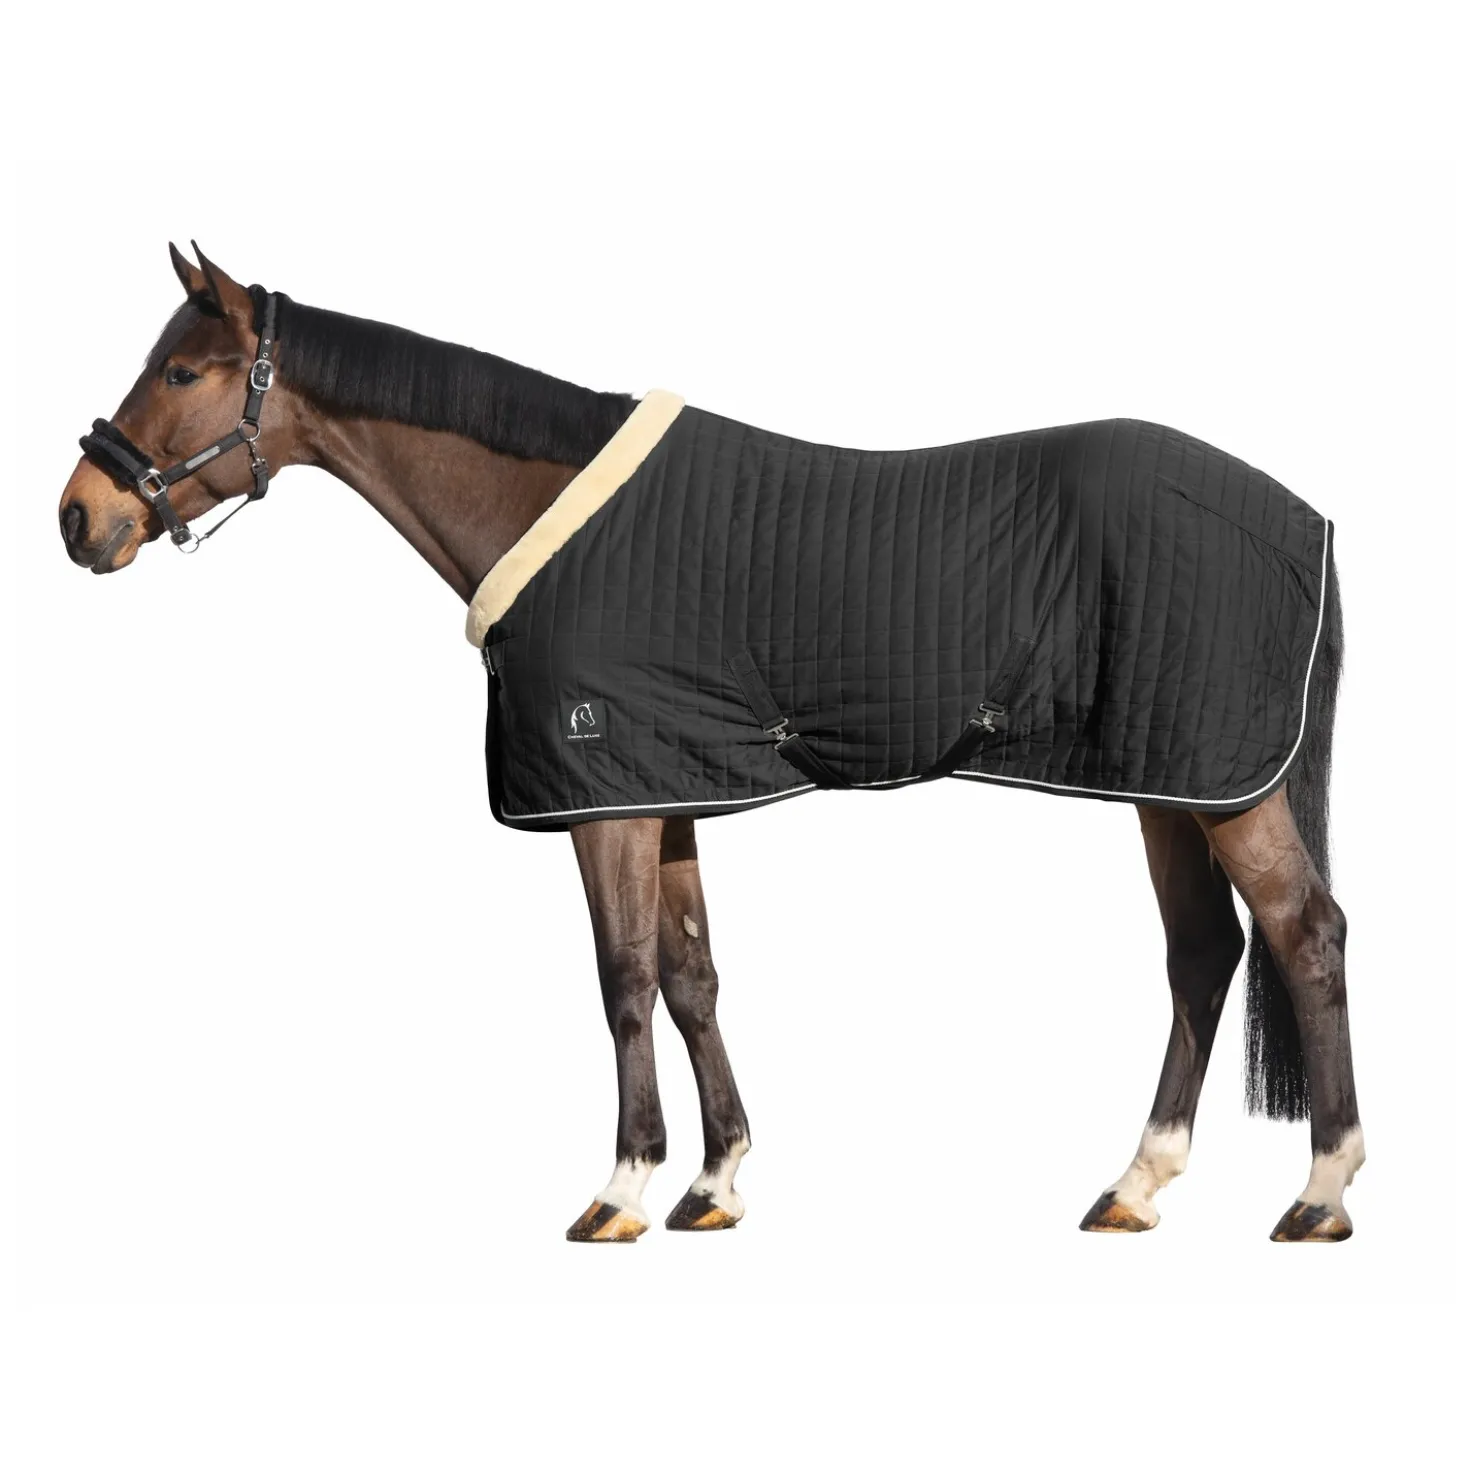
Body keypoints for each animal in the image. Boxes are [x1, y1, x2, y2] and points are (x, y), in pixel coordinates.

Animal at [57, 244, 1364, 1243]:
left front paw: (622, 1189)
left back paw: (1320, 1192)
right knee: (1203, 954)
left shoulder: (605, 804)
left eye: (181, 368)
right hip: (1168, 782)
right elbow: (692, 978)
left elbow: (625, 981)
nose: (80, 515)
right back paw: (1136, 1184)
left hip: (1224, 788)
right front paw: (714, 1180)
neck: (550, 512)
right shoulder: (669, 786)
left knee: (1305, 935)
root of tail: (1303, 516)